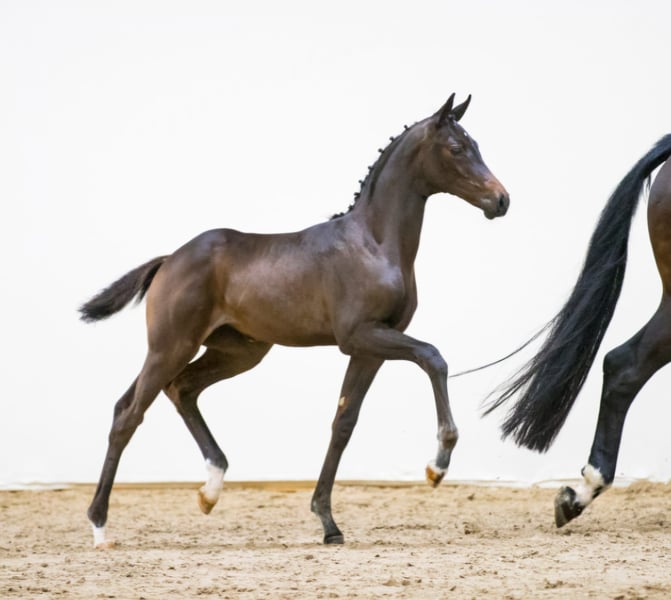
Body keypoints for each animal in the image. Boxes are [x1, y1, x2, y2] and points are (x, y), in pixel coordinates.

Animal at [80, 94, 509, 548]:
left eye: (476, 144)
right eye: (457, 148)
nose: (501, 200)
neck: (373, 243)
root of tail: (169, 260)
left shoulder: (371, 346)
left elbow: (344, 422)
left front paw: (328, 522)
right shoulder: (361, 335)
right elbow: (433, 358)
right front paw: (437, 465)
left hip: (236, 352)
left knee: (180, 390)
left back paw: (210, 490)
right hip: (171, 346)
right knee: (128, 414)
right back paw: (100, 526)